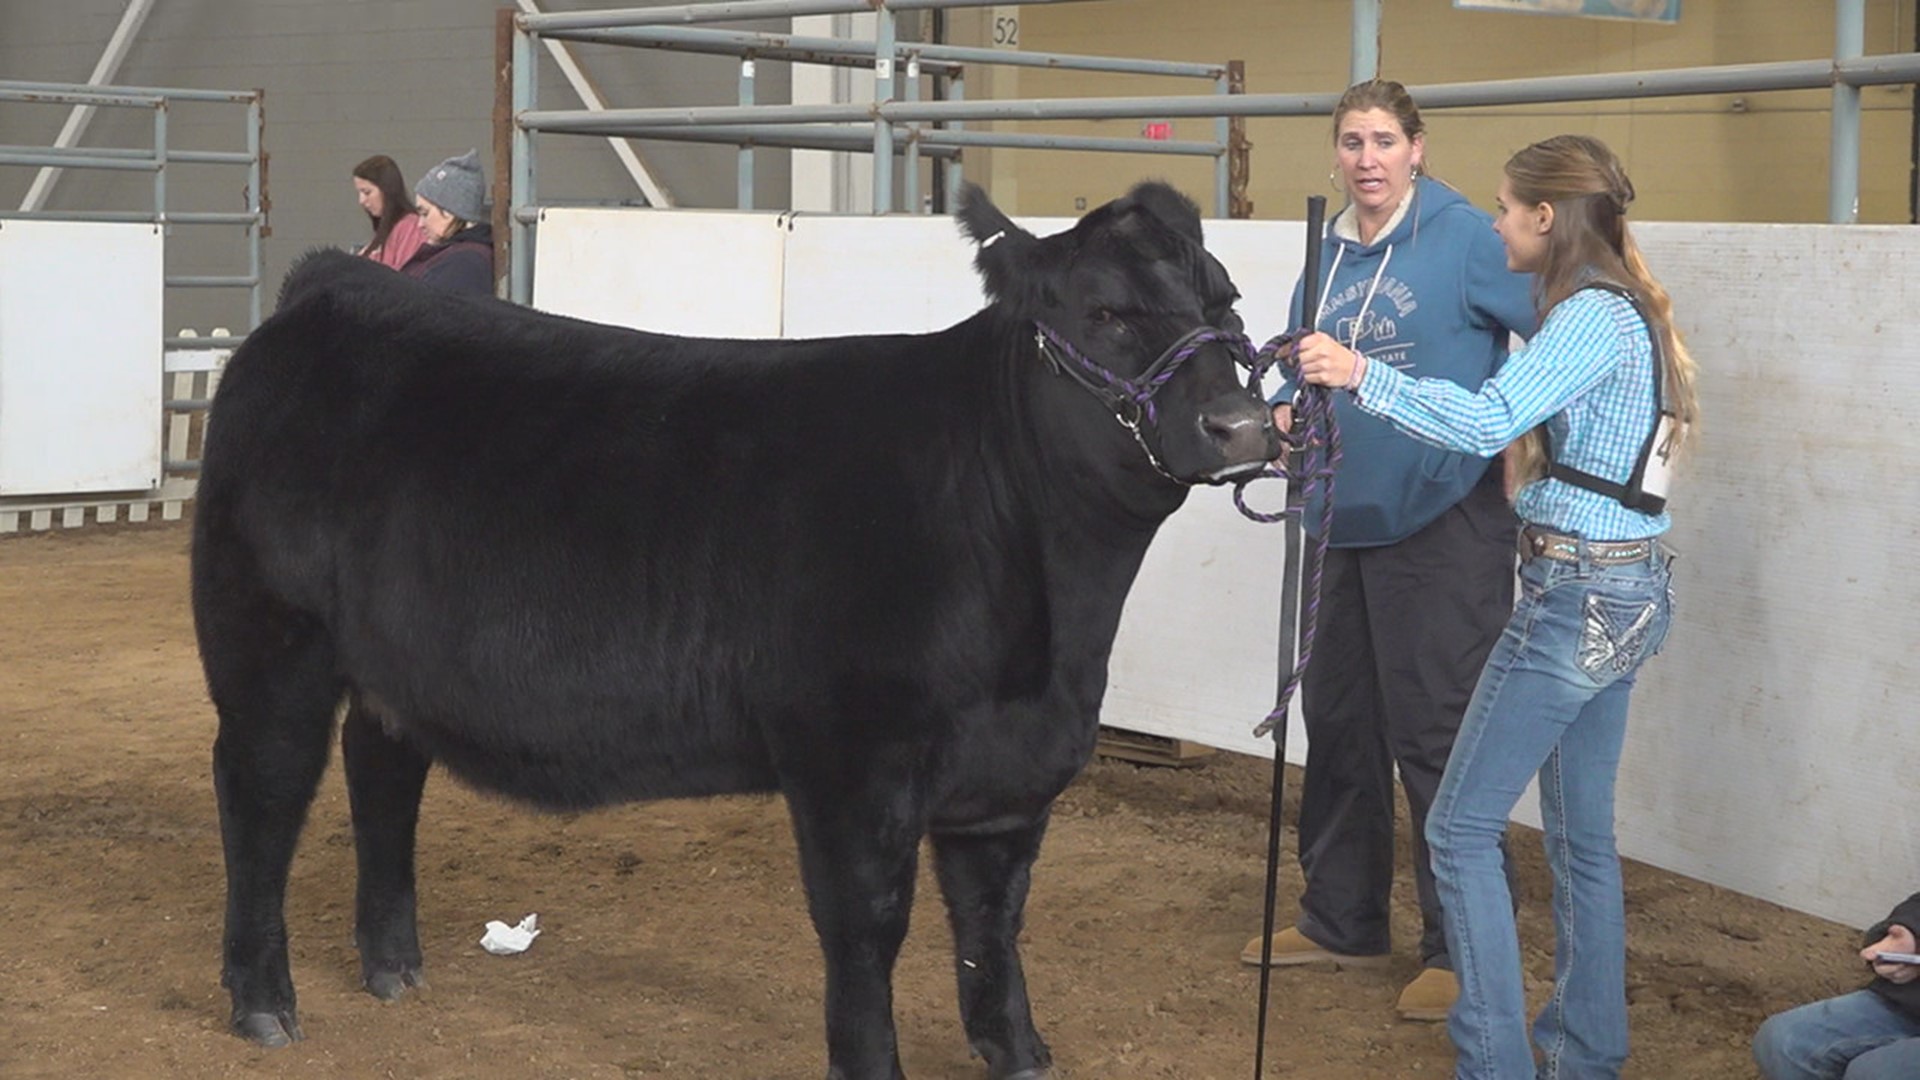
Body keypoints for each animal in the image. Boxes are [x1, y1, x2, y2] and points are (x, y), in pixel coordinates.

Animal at [194, 182, 1282, 1076]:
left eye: (1227, 304)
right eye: (1105, 313)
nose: (1241, 426)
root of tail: (330, 289)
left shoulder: (1008, 777)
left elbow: (993, 925)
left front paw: (1019, 1054)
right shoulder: (850, 759)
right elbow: (866, 928)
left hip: (393, 659)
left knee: (382, 772)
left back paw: (393, 966)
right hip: (269, 640)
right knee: (261, 794)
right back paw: (262, 1002)